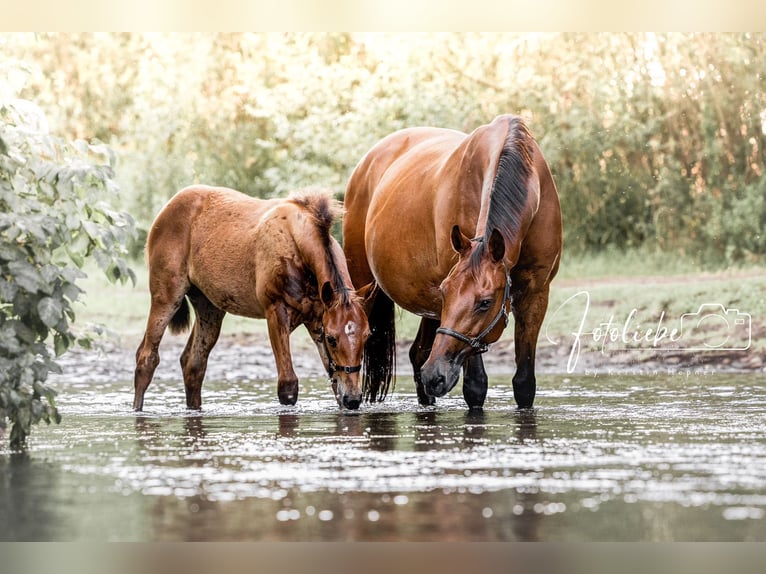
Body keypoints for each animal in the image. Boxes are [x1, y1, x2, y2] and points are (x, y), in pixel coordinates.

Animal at [133, 186, 370, 411]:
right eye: (332, 338)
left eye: (367, 335)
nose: (354, 399)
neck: (296, 242)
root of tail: (166, 209)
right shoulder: (276, 312)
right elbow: (288, 386)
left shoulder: (316, 320)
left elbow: (335, 386)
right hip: (167, 296)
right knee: (147, 358)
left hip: (209, 307)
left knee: (193, 364)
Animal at [343, 114, 562, 409]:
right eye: (446, 293)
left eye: (485, 303)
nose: (436, 374)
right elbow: (476, 387)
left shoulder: (535, 293)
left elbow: (524, 385)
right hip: (363, 286)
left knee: (418, 354)